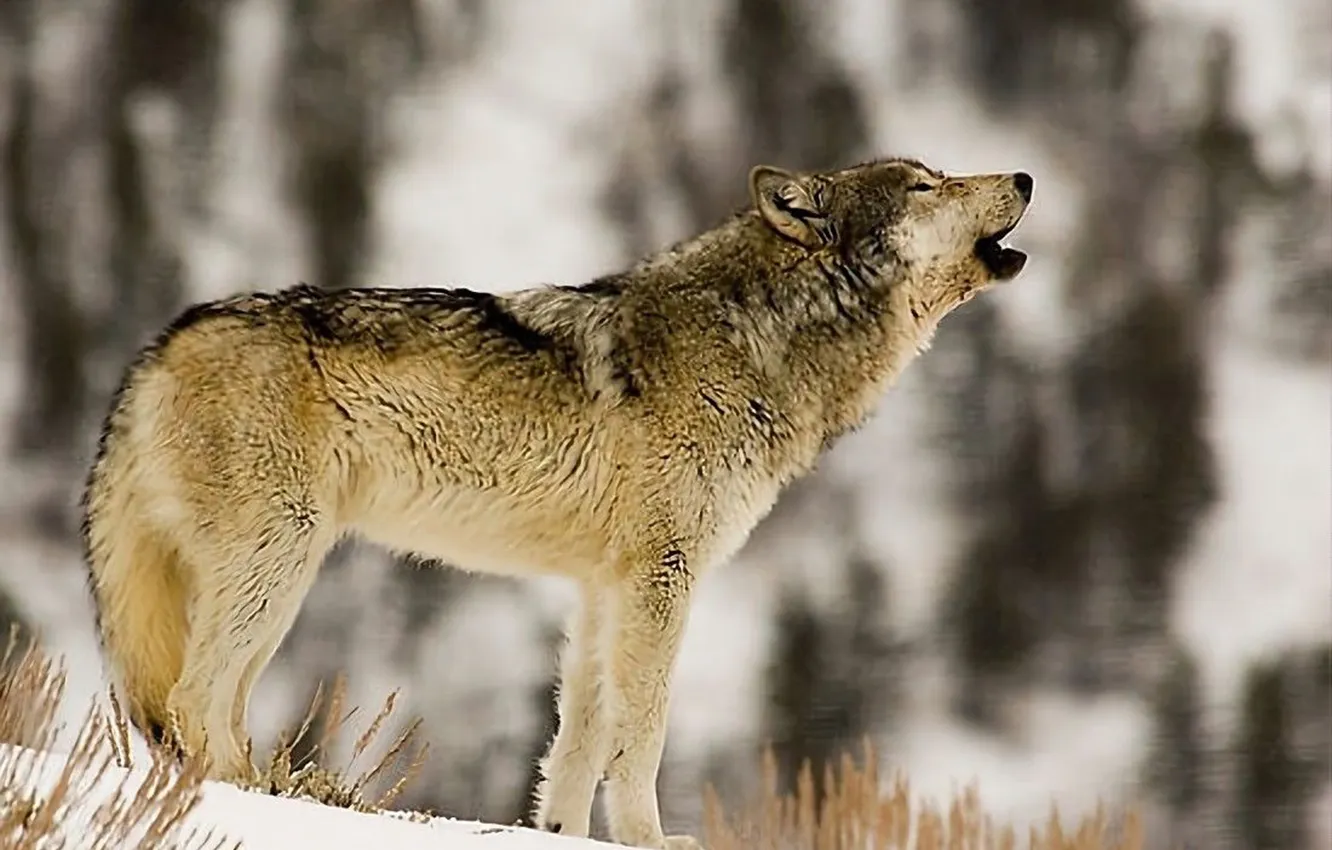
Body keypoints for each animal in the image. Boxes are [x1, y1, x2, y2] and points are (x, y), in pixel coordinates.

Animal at [81, 156, 1031, 849]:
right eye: (924, 184)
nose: (1024, 177)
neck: (761, 338)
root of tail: (158, 347)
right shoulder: (663, 578)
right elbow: (641, 732)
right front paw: (651, 839)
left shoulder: (603, 587)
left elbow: (579, 737)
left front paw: (564, 834)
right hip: (276, 566)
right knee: (194, 701)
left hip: (278, 581)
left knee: (214, 704)